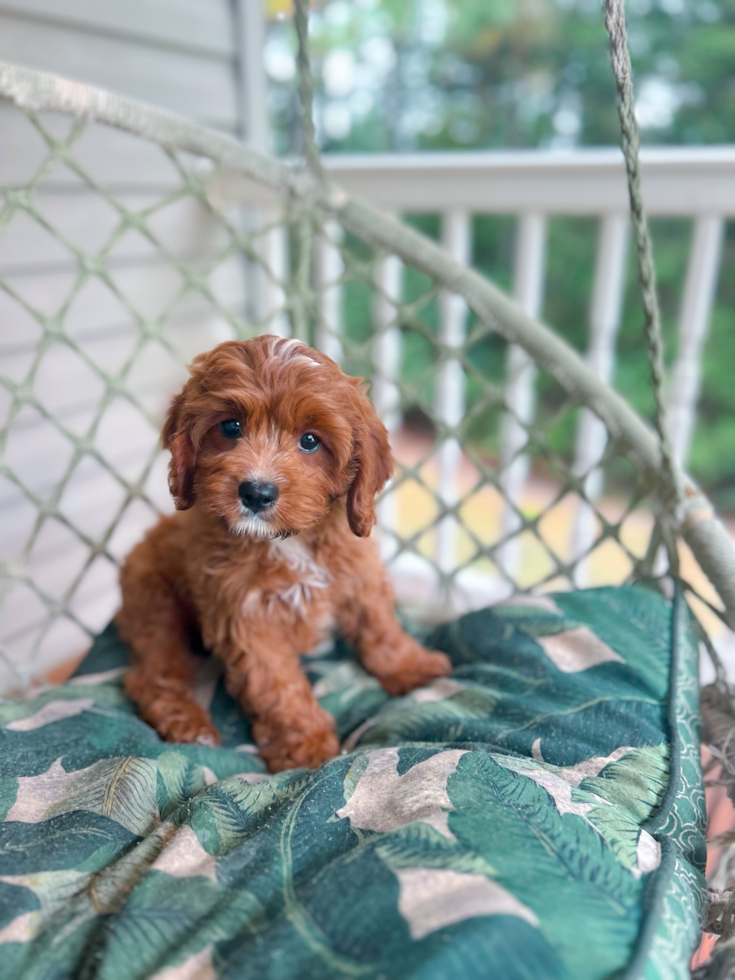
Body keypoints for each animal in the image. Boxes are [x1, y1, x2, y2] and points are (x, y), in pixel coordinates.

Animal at [117, 336, 452, 772]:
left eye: (310, 440)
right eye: (231, 427)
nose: (257, 492)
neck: (287, 540)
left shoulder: (359, 573)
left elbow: (379, 625)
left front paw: (410, 666)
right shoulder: (246, 617)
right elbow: (278, 684)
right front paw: (306, 745)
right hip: (156, 606)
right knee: (153, 672)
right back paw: (188, 723)